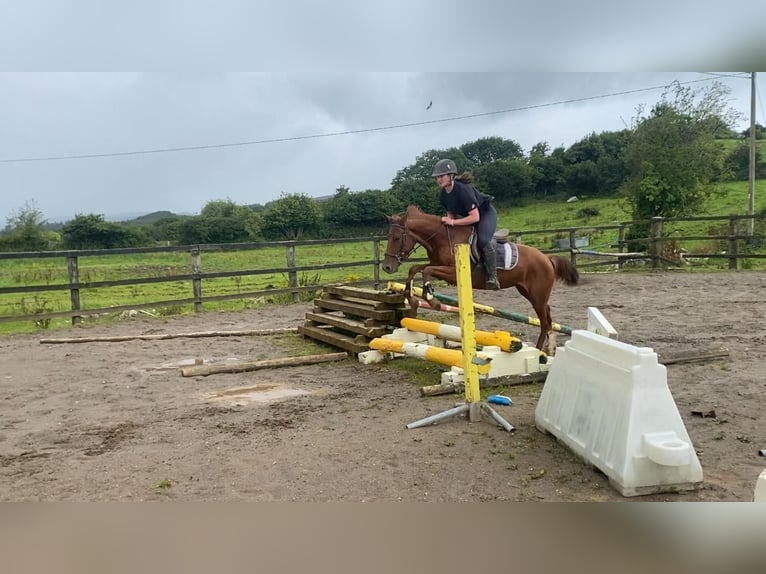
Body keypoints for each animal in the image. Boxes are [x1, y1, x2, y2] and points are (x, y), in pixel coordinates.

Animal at [384, 205, 584, 354]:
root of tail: (547, 258)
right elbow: (415, 269)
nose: (387, 267)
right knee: (547, 318)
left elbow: (426, 271)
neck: (441, 238)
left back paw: (540, 351)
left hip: (537, 296)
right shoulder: (436, 265)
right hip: (528, 292)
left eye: (396, 238)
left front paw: (432, 300)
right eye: (388, 237)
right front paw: (411, 298)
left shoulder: (452, 272)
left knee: (545, 322)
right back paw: (547, 349)